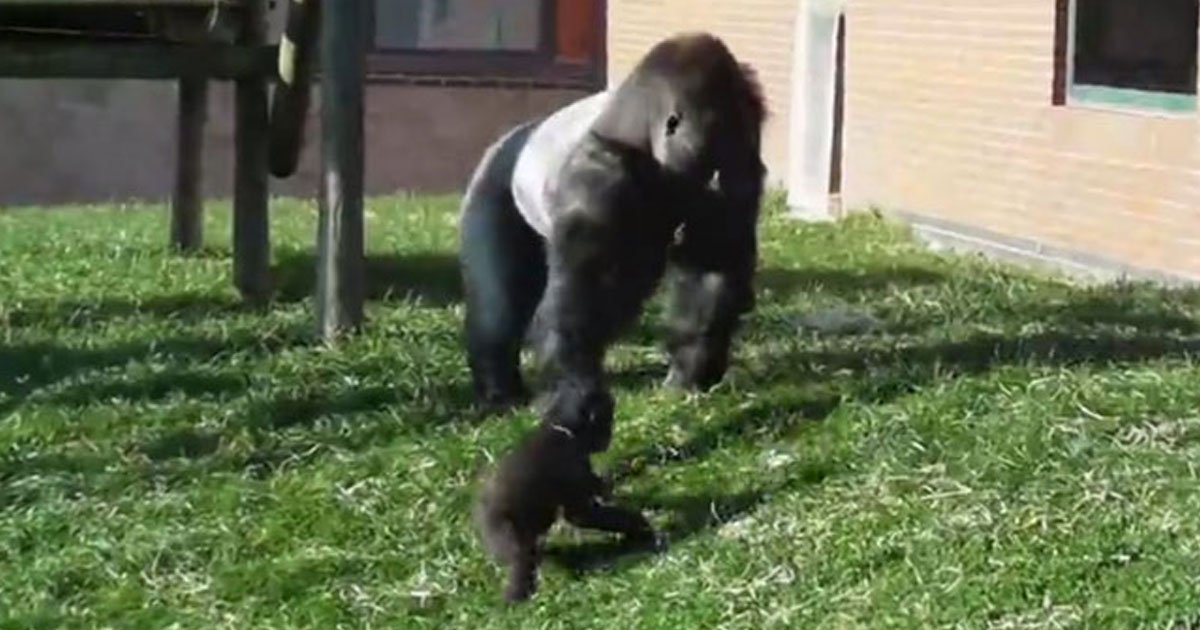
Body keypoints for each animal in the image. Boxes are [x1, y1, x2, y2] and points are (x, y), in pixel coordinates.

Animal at [453, 33, 763, 417]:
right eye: (729, 140)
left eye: (751, 138)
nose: (740, 174)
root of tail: (519, 132)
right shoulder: (598, 177)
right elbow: (582, 296)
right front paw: (575, 397)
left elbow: (713, 267)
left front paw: (690, 374)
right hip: (494, 173)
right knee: (498, 308)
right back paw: (499, 391)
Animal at [470, 384, 657, 600]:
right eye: (607, 419)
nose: (608, 436)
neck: (562, 428)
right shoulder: (572, 463)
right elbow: (581, 514)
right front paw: (638, 523)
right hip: (502, 527)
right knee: (521, 556)